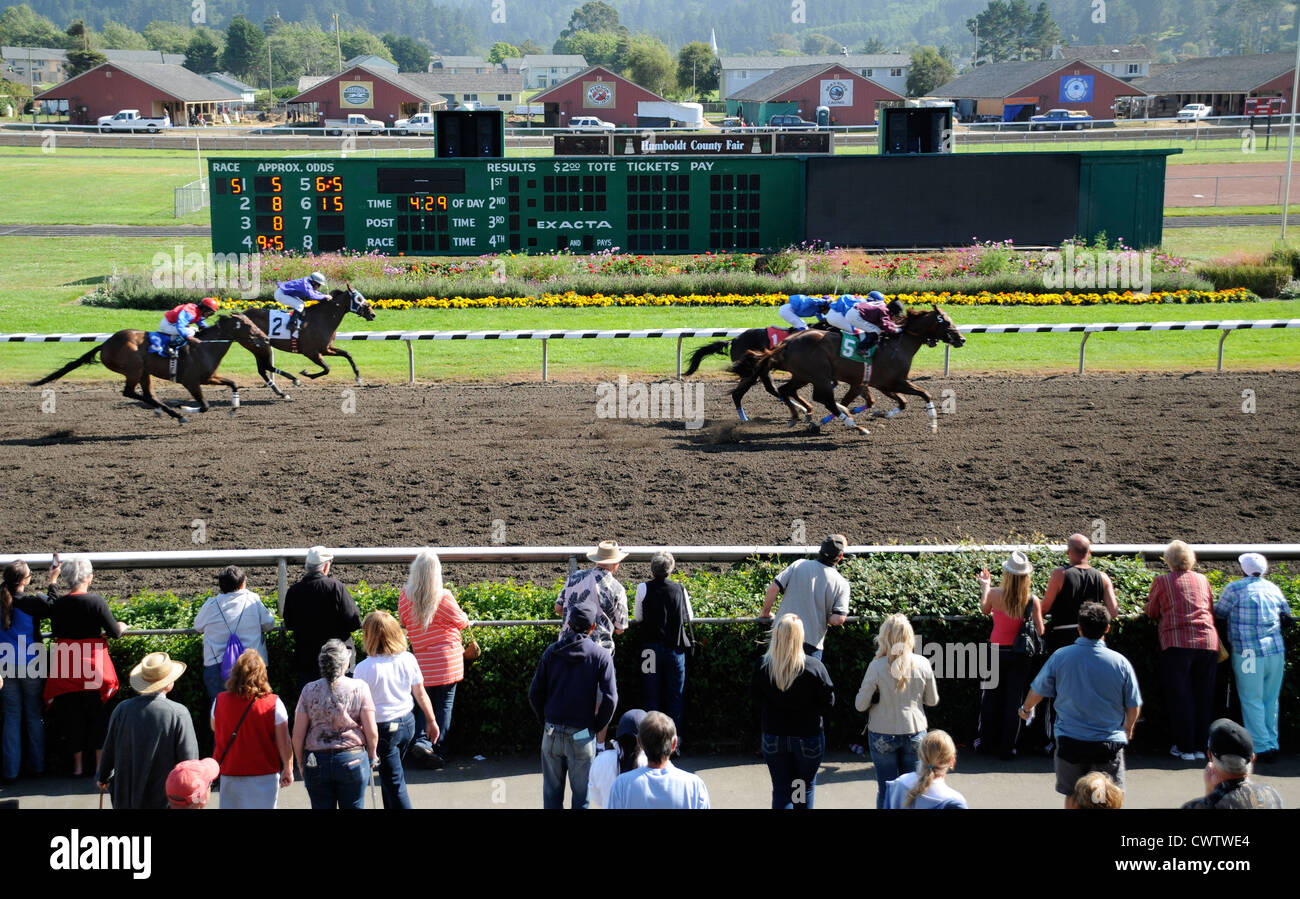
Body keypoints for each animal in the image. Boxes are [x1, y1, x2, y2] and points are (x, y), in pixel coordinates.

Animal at [31, 314, 269, 423]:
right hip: (134, 368)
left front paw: (234, 408)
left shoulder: (209, 377)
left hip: (144, 372)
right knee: (130, 392)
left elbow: (233, 384)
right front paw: (185, 407)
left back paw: (172, 412)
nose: (265, 337)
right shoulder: (191, 381)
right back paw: (176, 412)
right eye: (249, 325)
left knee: (148, 394)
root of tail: (106, 344)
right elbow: (204, 406)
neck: (204, 346)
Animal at [237, 284, 377, 397]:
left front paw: (358, 377)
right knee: (264, 367)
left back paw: (281, 391)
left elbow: (347, 355)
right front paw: (306, 373)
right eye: (358, 298)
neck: (322, 319)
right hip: (259, 346)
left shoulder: (326, 348)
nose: (372, 314)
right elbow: (327, 368)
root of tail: (240, 315)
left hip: (258, 347)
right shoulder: (311, 352)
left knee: (263, 369)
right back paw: (291, 382)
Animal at [738, 305, 961, 436]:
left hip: (802, 375)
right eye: (946, 322)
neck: (897, 344)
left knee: (786, 390)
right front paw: (933, 425)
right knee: (824, 399)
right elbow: (925, 394)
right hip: (819, 375)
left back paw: (796, 417)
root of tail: (787, 342)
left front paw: (883, 414)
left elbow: (901, 402)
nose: (961, 339)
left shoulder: (877, 383)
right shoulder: (896, 382)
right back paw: (858, 428)